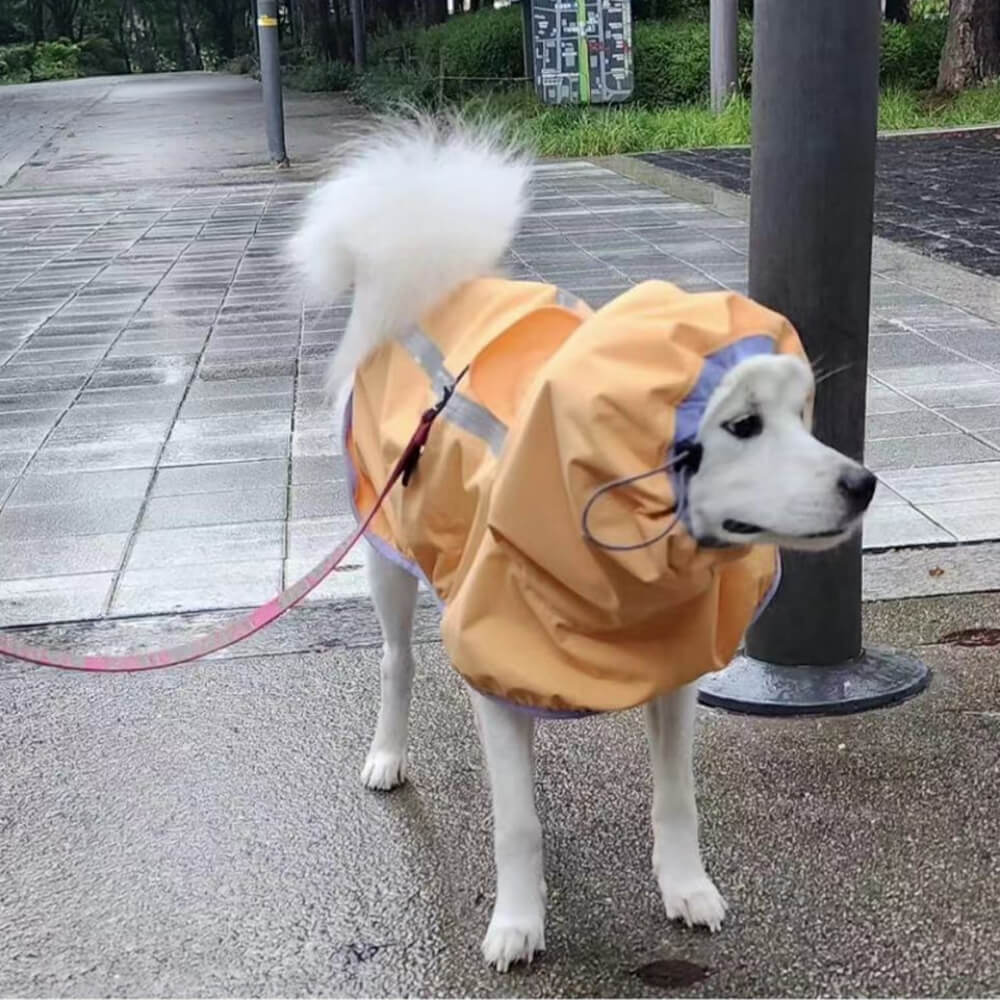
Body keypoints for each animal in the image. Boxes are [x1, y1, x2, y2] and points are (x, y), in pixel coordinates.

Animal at [290, 115, 876, 968]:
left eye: (802, 419)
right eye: (742, 425)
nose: (863, 484)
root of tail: (436, 286)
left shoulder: (672, 671)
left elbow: (676, 798)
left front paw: (685, 887)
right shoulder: (495, 660)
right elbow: (517, 822)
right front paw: (517, 922)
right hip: (386, 560)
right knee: (397, 661)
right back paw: (388, 755)